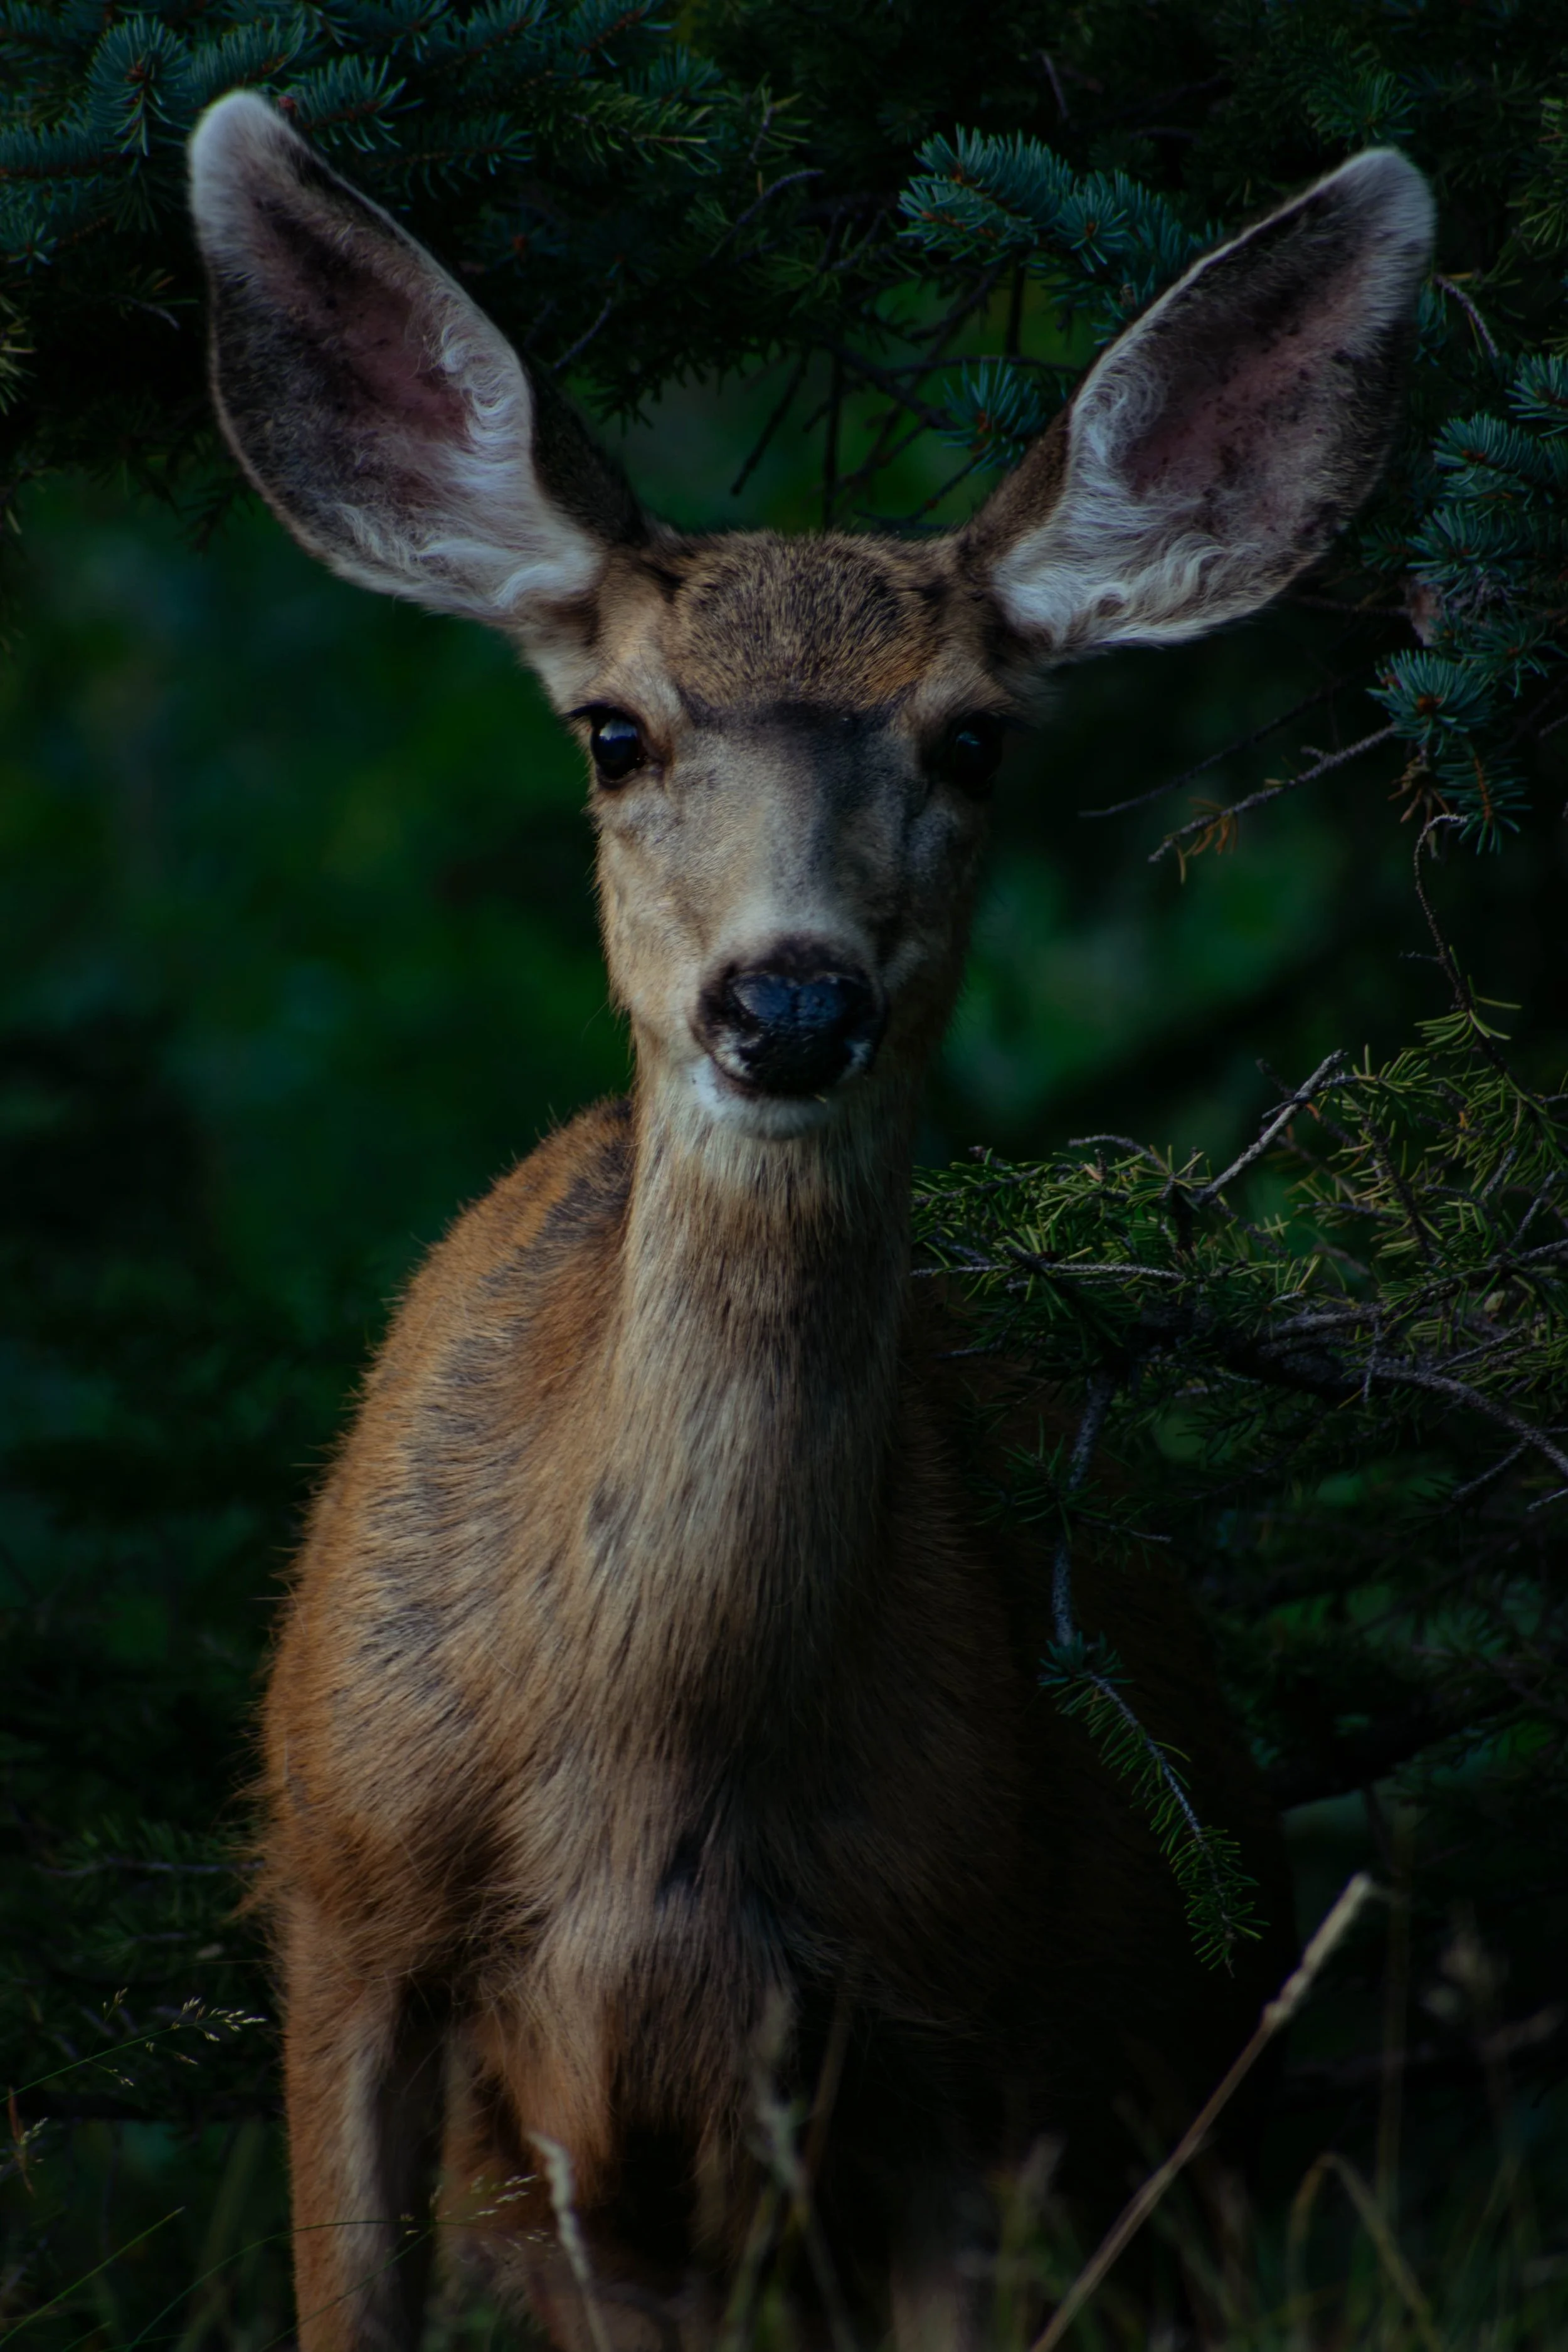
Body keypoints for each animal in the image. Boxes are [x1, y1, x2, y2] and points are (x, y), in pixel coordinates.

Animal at [186, 91, 1433, 2352]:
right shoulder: (337, 1905)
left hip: (1182, 2096)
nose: (787, 1000)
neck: (642, 1783)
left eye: (975, 737)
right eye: (614, 729)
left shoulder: (966, 2021)